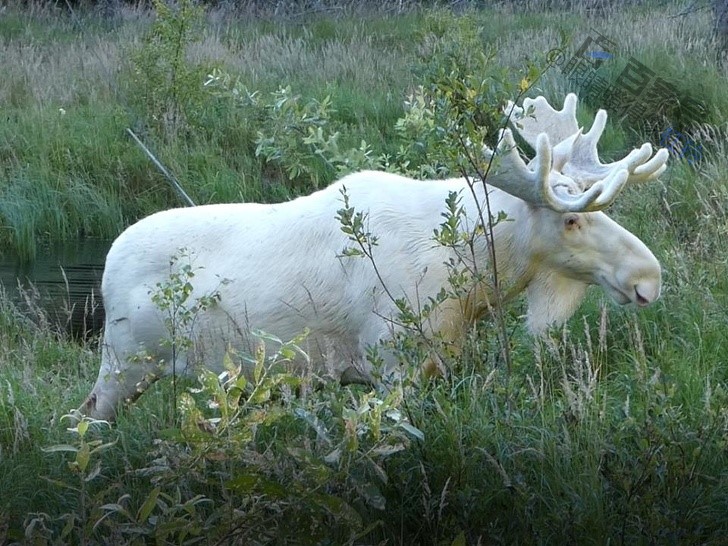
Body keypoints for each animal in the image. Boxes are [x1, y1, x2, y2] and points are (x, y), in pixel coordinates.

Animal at [79, 93, 664, 418]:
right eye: (572, 218)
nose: (648, 276)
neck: (478, 274)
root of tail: (106, 265)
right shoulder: (389, 363)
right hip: (124, 363)